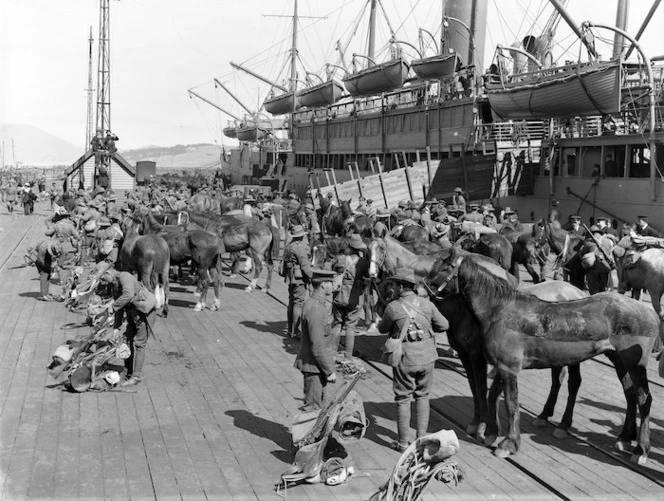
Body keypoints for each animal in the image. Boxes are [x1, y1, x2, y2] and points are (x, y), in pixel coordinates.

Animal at [422, 248, 656, 462]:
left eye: (444, 267)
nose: (422, 287)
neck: (500, 311)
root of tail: (649, 312)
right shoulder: (499, 365)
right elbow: (492, 395)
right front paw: (490, 432)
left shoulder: (506, 368)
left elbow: (510, 404)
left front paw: (509, 443)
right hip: (618, 360)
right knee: (629, 393)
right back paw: (624, 437)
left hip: (635, 364)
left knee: (644, 399)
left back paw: (641, 449)